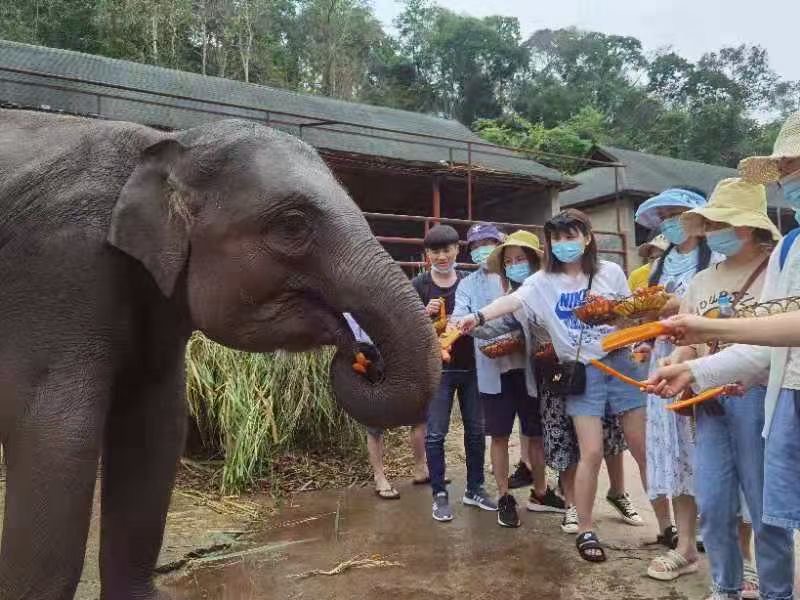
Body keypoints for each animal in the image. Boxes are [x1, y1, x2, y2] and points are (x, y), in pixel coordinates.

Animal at [0, 109, 438, 600]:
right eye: (293, 225)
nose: (363, 353)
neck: (164, 145)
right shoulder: (58, 270)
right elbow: (59, 436)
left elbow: (156, 428)